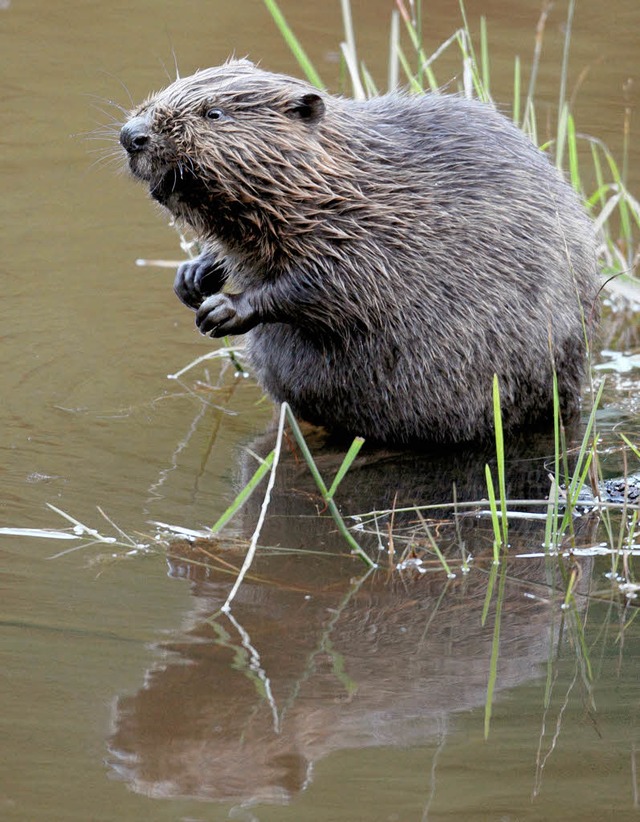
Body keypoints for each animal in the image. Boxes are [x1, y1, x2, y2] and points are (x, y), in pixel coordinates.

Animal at [119, 58, 600, 448]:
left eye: (214, 113)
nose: (131, 135)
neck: (341, 180)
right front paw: (192, 277)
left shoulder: (371, 234)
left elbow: (334, 286)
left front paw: (223, 310)